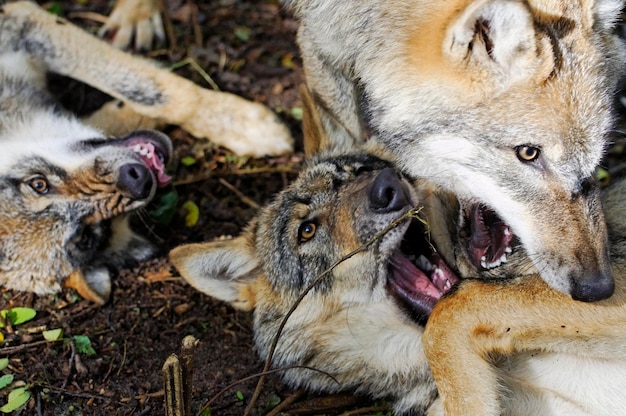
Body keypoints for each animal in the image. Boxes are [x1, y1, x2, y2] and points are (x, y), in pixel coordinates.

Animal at [0, 1, 292, 304]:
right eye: (88, 236)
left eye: (38, 184)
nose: (138, 180)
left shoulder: (23, 23)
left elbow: (159, 94)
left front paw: (249, 127)